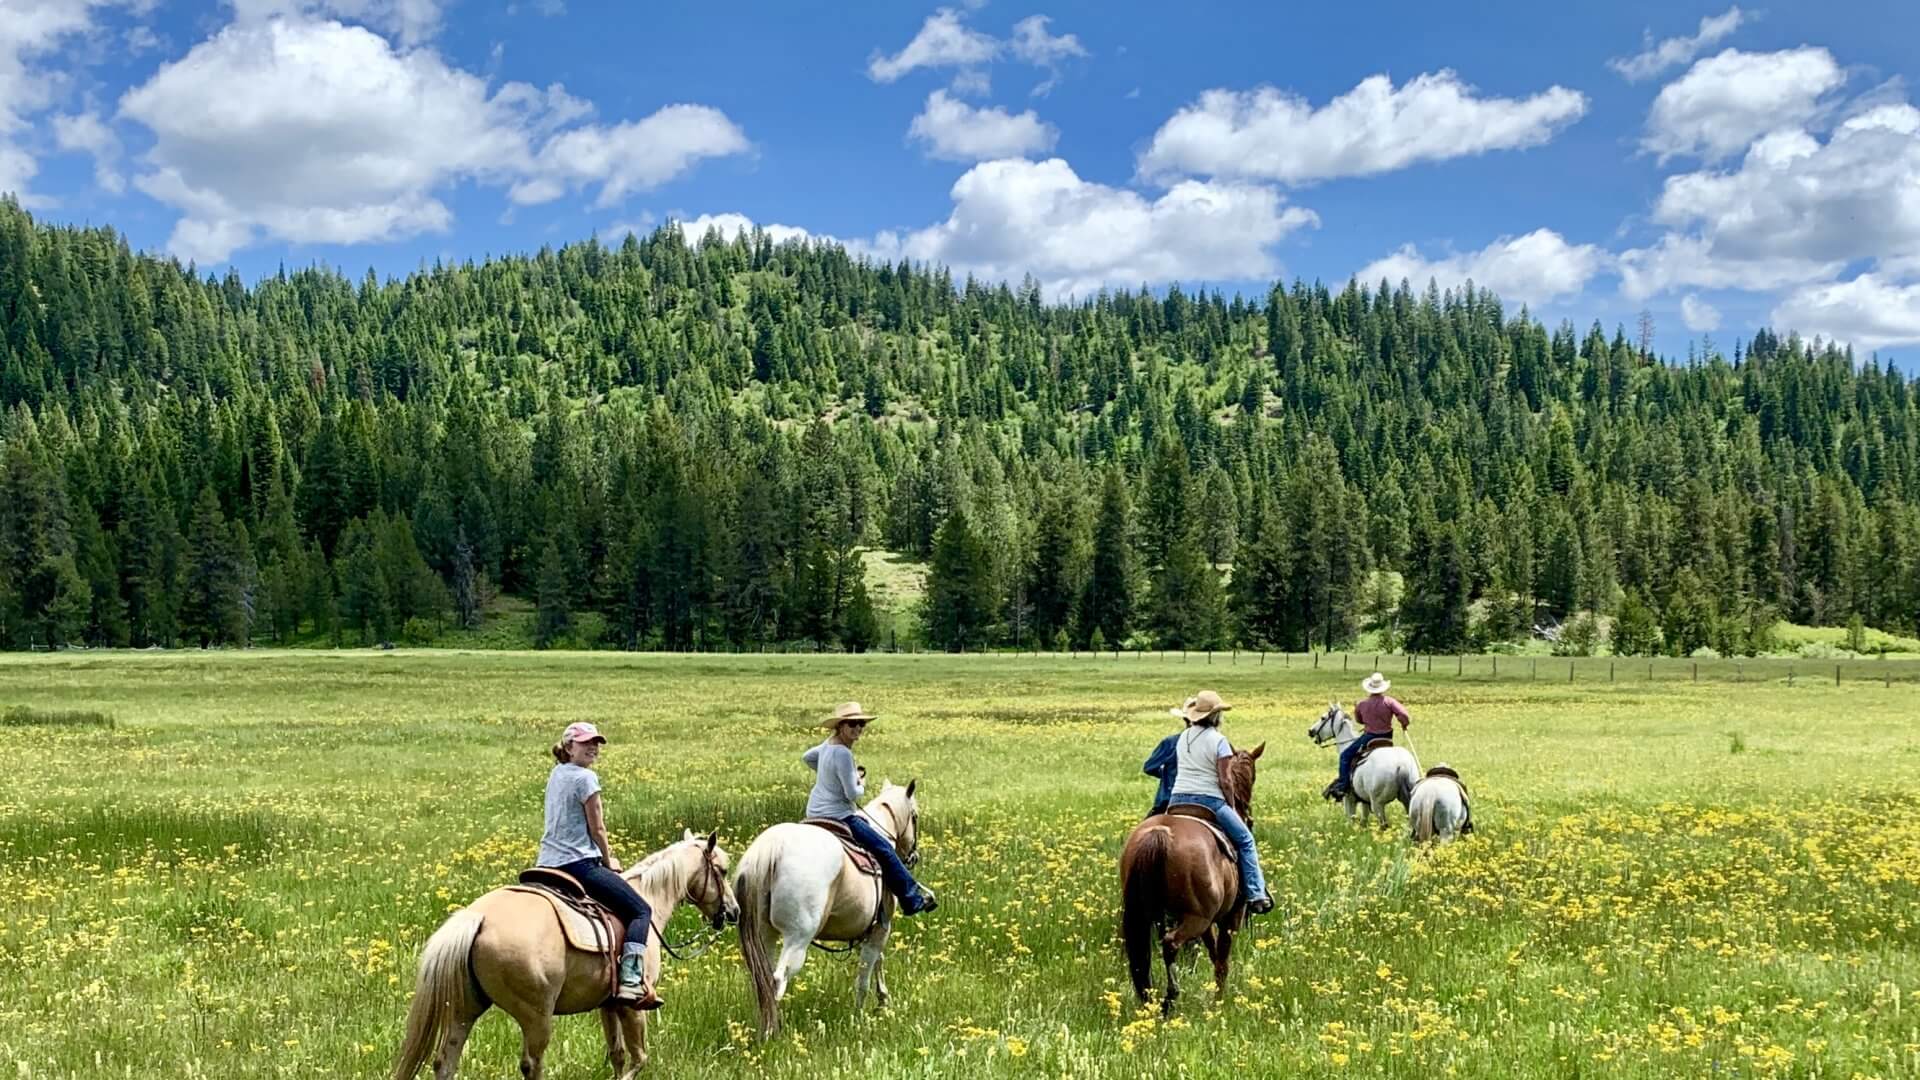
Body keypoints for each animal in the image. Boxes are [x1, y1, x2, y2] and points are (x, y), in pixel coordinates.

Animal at [393, 826, 737, 1068]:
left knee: (445, 1060)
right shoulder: (632, 1006)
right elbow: (639, 1059)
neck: (649, 897)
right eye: (721, 871)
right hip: (536, 1015)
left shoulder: (608, 1005)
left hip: (464, 1008)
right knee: (531, 1064)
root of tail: (479, 917)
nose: (733, 912)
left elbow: (618, 1056)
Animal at [725, 772, 921, 1037]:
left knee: (762, 978)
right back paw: (773, 1033)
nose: (913, 857)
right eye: (915, 816)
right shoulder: (882, 928)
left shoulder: (866, 931)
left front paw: (882, 1001)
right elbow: (864, 976)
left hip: (764, 934)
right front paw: (861, 1016)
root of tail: (771, 850)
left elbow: (876, 962)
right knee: (777, 979)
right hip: (797, 938)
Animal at [1121, 737, 1267, 1006]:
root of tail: (1161, 834)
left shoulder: (1210, 921)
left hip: (1150, 913)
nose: (1249, 817)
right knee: (1170, 943)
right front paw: (1219, 998)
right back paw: (1171, 996)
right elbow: (1222, 959)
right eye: (1253, 775)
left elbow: (1213, 953)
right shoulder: (1231, 916)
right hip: (1196, 918)